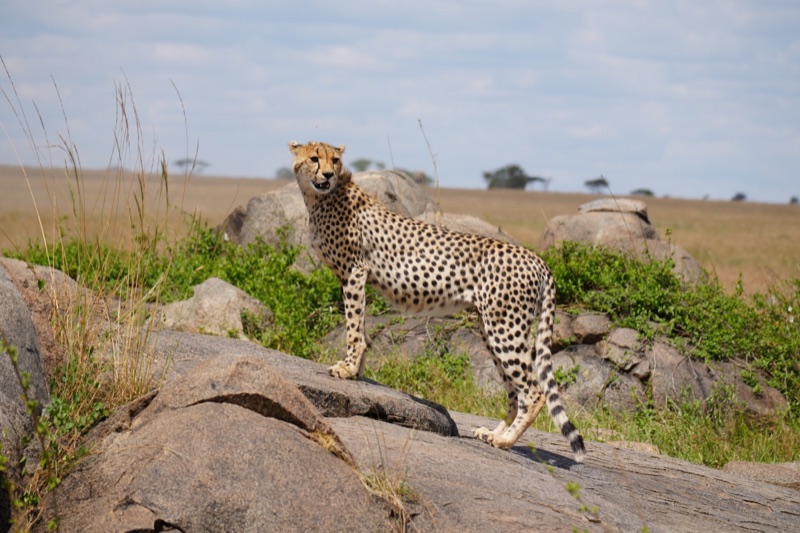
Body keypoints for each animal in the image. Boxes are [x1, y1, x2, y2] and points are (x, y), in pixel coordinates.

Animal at [289, 140, 585, 462]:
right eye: (314, 158)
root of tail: (537, 259)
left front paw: (348, 369)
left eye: (335, 160)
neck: (320, 198)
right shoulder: (356, 276)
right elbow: (361, 327)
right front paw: (357, 371)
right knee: (513, 391)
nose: (328, 175)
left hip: (505, 329)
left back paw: (505, 440)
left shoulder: (355, 272)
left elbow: (353, 327)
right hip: (492, 328)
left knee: (533, 392)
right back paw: (493, 434)